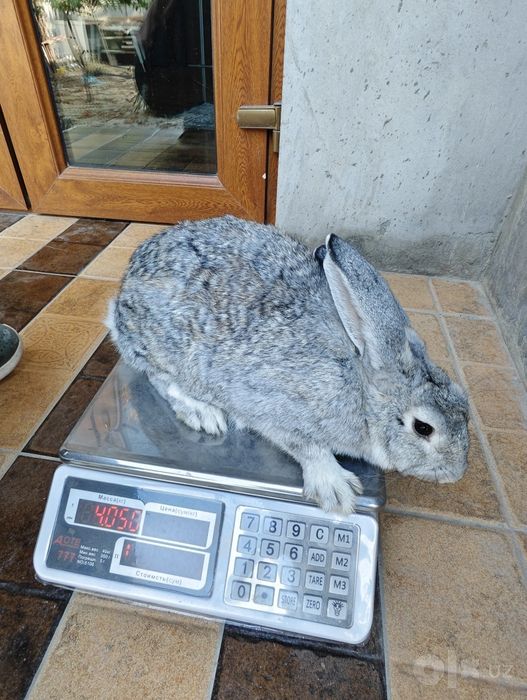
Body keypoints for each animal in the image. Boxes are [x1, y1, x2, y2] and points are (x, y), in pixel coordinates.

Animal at [107, 215, 469, 514]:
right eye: (423, 428)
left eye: (465, 404)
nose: (456, 473)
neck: (360, 387)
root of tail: (122, 292)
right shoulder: (272, 407)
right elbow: (307, 446)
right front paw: (337, 490)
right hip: (165, 348)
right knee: (159, 377)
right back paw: (203, 414)